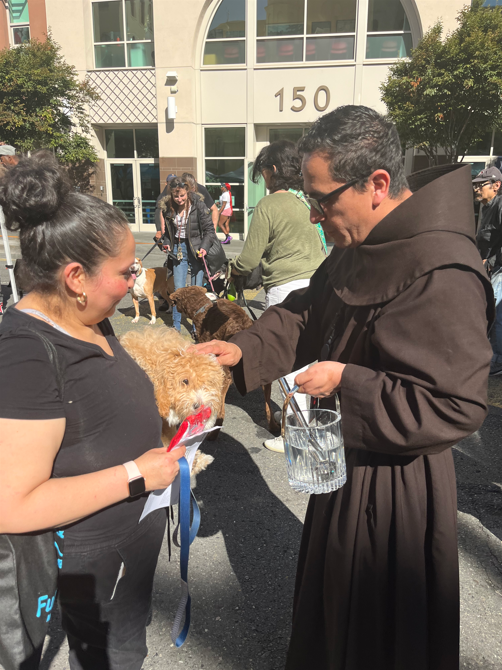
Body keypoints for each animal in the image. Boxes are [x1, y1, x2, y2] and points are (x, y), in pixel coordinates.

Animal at [168, 286, 278, 438]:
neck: (202, 306)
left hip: (225, 376)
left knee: (221, 412)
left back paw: (212, 434)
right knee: (268, 407)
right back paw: (274, 426)